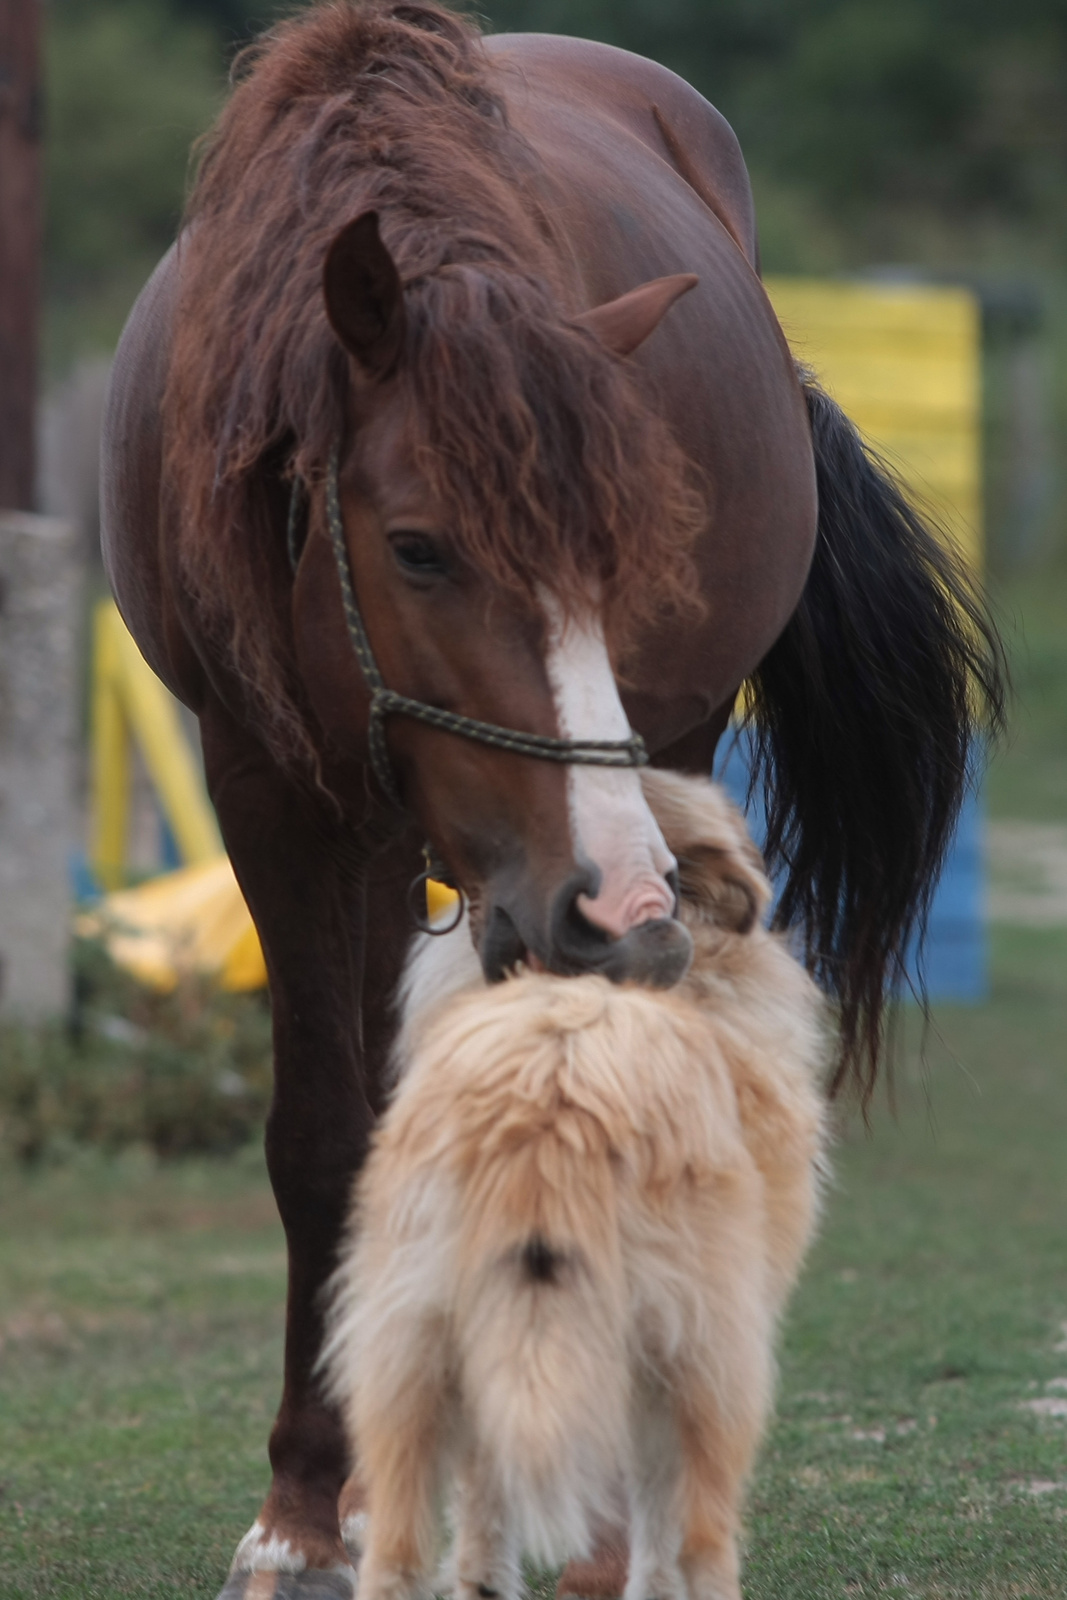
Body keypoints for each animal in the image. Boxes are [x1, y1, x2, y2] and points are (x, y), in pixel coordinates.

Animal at [326, 771, 831, 1600]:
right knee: (701, 1533)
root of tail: (547, 1105)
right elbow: (656, 1534)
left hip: (412, 1351)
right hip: (711, 1357)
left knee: (397, 1551)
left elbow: (484, 1514)